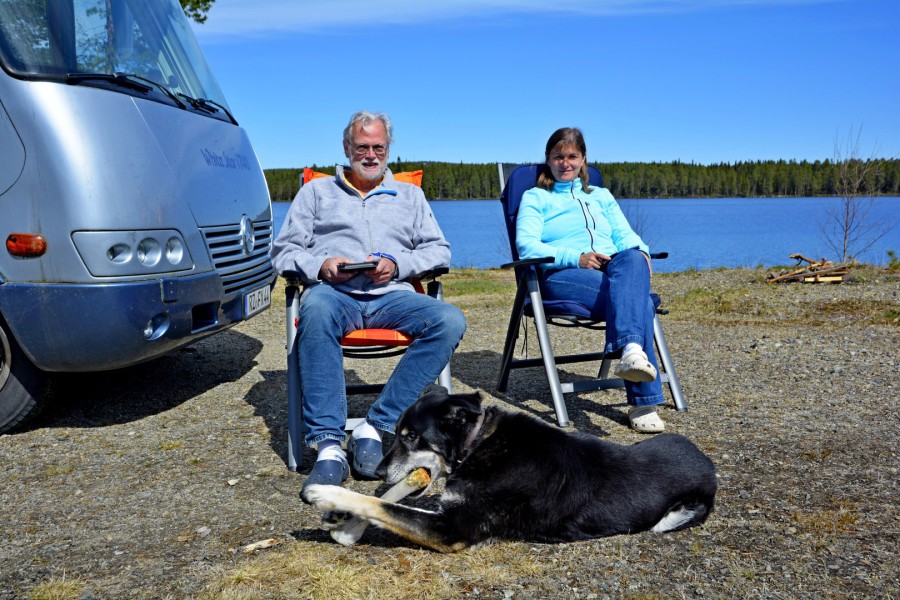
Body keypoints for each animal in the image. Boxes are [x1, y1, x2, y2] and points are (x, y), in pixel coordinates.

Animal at [303, 384, 717, 552]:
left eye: (410, 437)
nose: (376, 473)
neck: (479, 444)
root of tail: (707, 462)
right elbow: (389, 504)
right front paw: (343, 525)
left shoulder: (453, 530)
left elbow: (383, 505)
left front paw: (325, 494)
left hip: (681, 511)